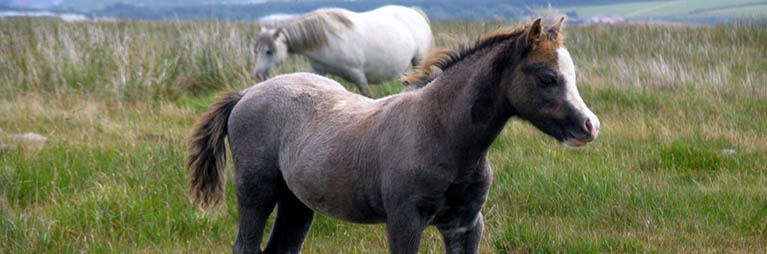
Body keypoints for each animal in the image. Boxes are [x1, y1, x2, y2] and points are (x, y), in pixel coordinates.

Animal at [252, 6, 432, 97]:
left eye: (269, 51)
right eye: (256, 51)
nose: (258, 75)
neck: (327, 40)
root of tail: (415, 12)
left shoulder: (357, 73)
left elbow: (367, 96)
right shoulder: (318, 71)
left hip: (418, 60)